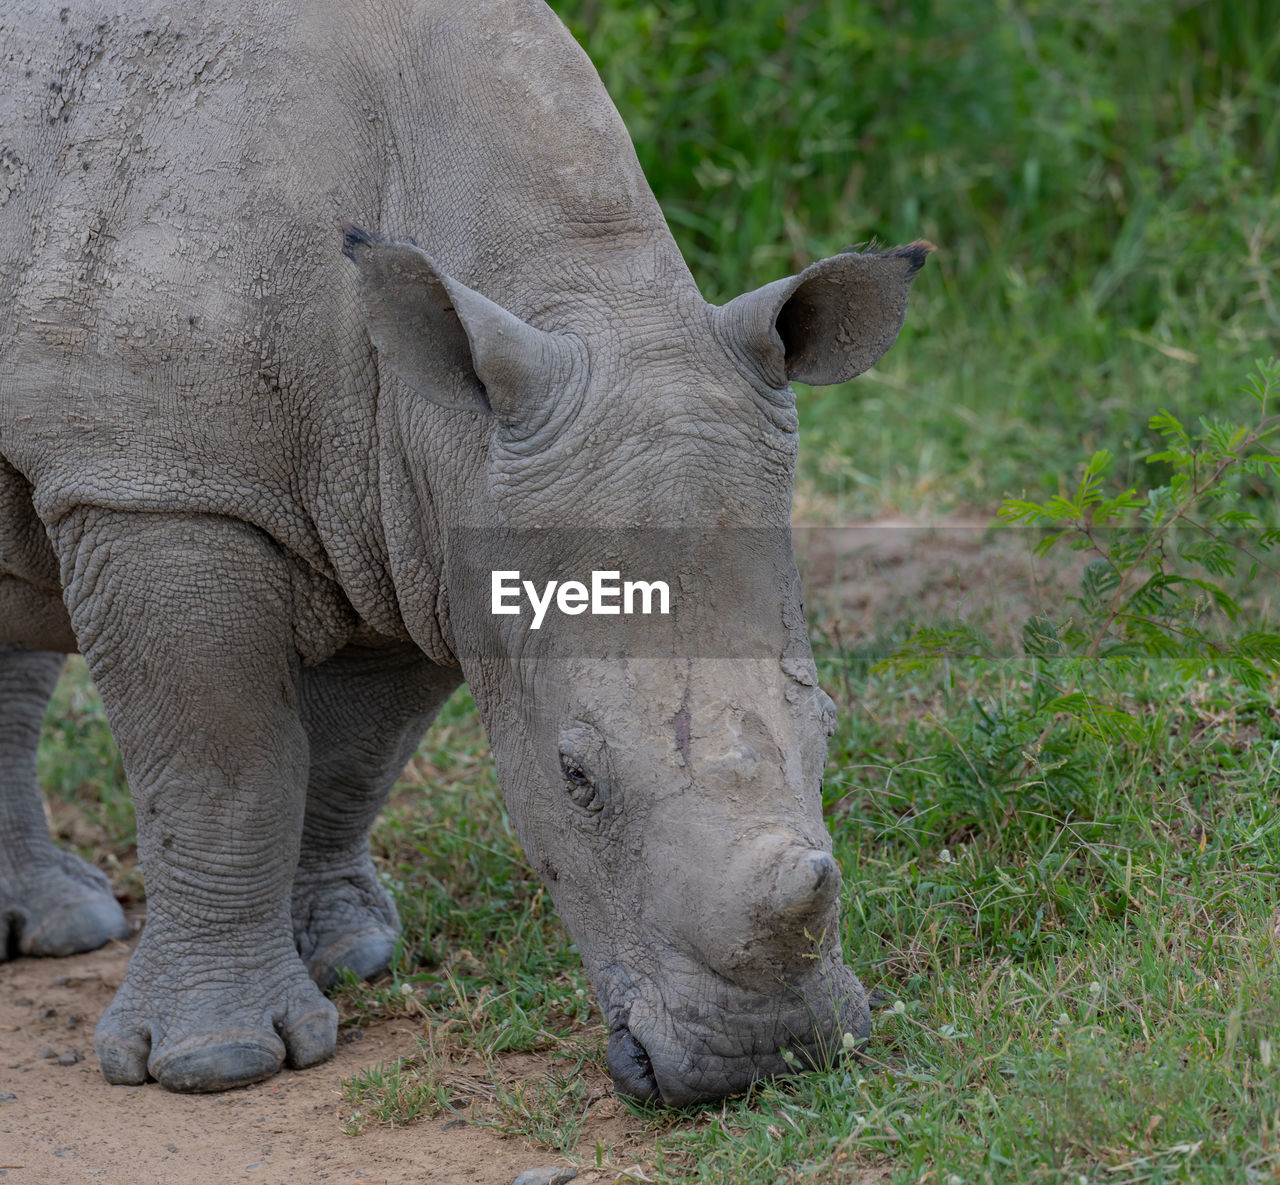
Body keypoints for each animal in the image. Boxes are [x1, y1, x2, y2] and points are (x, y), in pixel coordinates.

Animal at [0, 0, 921, 1110]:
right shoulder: (155, 482)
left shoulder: (417, 518)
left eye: (826, 727)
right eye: (577, 778)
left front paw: (343, 955)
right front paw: (219, 1062)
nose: (764, 1059)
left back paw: (54, 927)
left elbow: (353, 753)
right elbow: (225, 765)